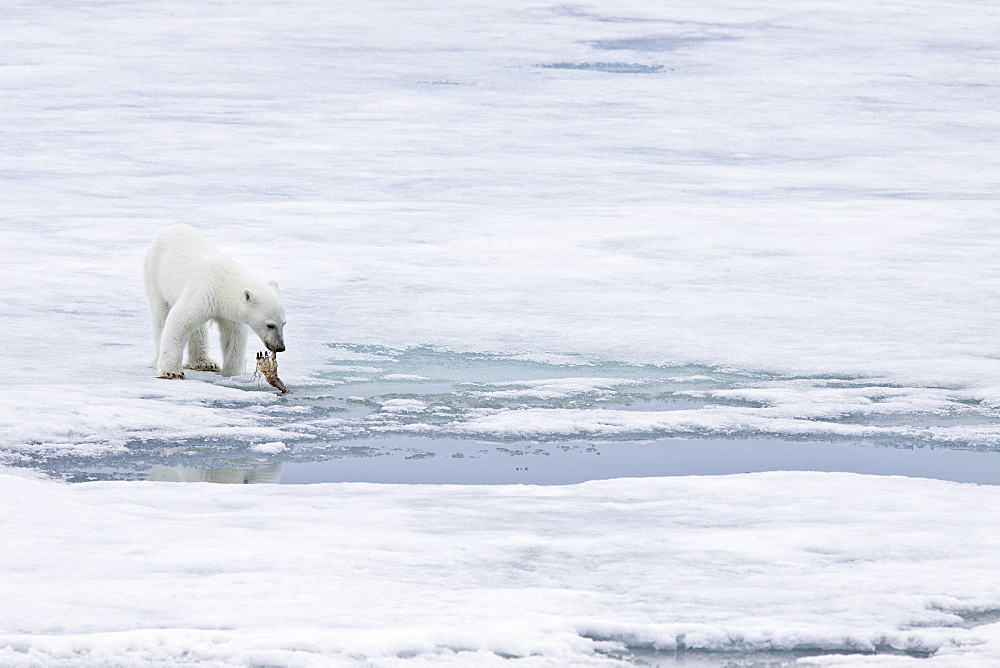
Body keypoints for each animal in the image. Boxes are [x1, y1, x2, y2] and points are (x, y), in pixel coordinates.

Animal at [143, 224, 288, 378]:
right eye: (270, 325)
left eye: (284, 323)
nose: (280, 347)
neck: (223, 283)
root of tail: (172, 227)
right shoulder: (204, 292)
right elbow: (179, 320)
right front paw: (170, 372)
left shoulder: (229, 311)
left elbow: (233, 335)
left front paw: (233, 372)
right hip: (154, 275)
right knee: (160, 316)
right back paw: (157, 360)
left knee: (198, 330)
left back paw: (204, 363)